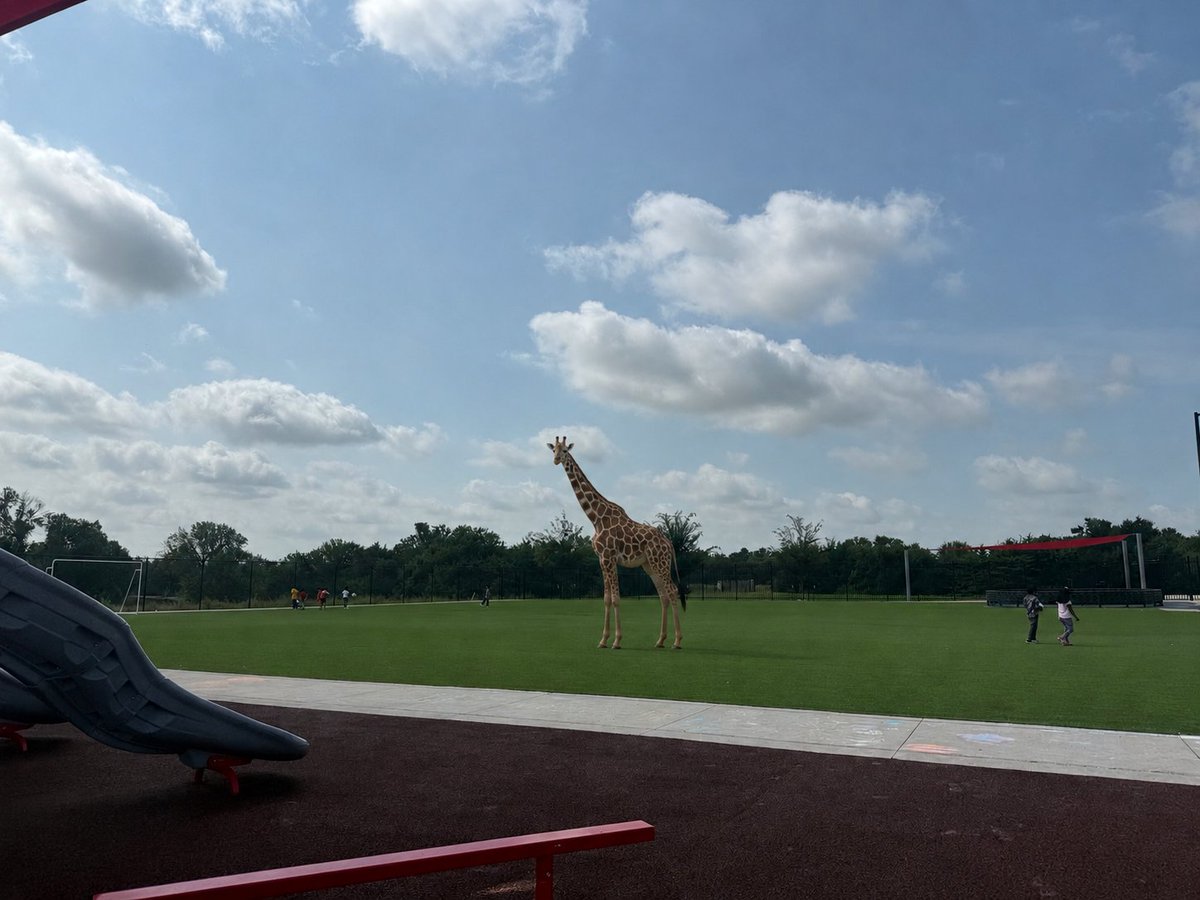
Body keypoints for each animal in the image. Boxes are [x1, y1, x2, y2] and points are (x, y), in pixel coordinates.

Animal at [548, 436, 685, 650]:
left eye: (564, 451)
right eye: (553, 449)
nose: (555, 460)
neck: (596, 517)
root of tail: (668, 542)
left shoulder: (609, 558)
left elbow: (616, 599)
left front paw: (617, 641)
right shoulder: (602, 560)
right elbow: (606, 599)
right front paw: (603, 640)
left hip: (660, 562)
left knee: (672, 591)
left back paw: (677, 641)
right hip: (649, 565)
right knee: (663, 595)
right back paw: (660, 640)